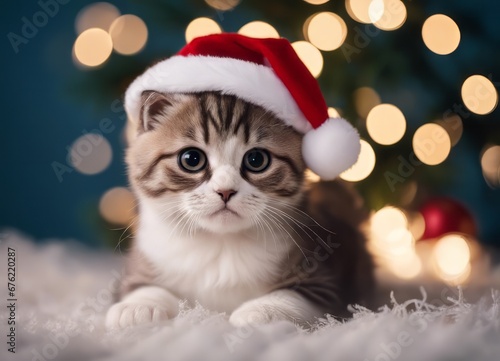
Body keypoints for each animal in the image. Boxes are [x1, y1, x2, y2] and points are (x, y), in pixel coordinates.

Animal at [105, 90, 374, 330]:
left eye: (256, 160)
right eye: (191, 159)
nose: (225, 191)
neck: (220, 243)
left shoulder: (323, 278)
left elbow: (298, 296)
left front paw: (261, 311)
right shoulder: (141, 261)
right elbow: (143, 286)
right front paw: (137, 306)